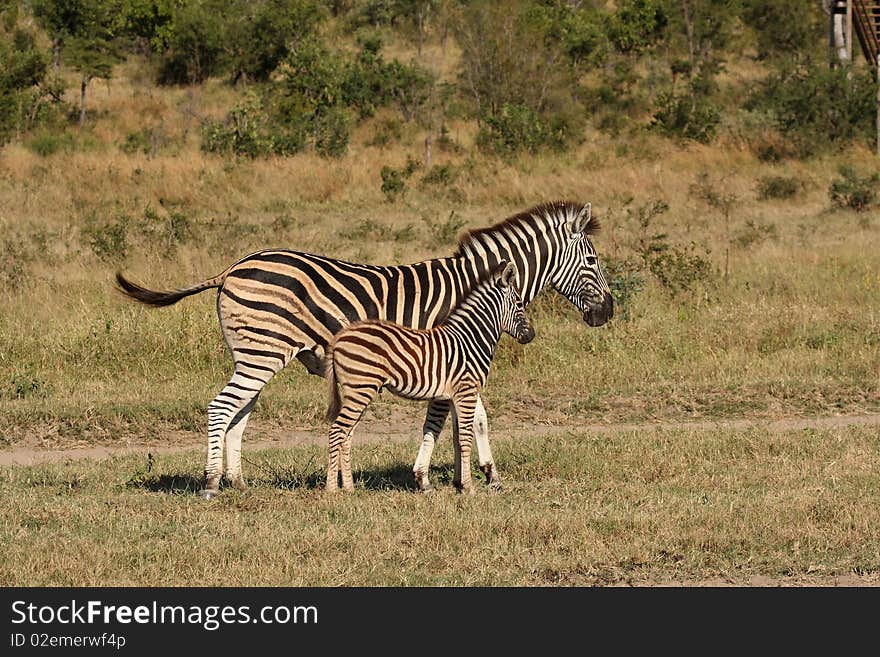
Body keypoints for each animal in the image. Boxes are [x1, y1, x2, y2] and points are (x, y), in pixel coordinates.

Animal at [324, 262, 528, 492]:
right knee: (337, 430)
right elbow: (466, 436)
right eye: (520, 303)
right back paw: (332, 489)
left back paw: (349, 488)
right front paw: (469, 487)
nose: (531, 336)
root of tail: (340, 337)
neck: (470, 339)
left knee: (347, 434)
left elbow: (453, 435)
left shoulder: (453, 394)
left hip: (357, 390)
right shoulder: (466, 390)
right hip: (361, 387)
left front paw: (457, 483)